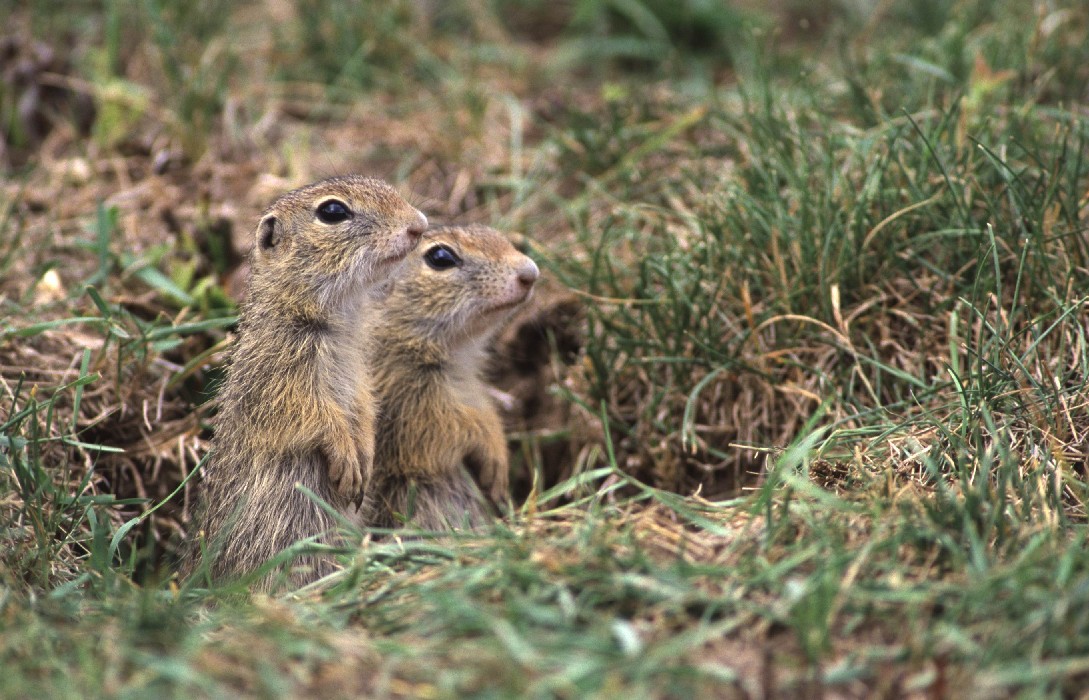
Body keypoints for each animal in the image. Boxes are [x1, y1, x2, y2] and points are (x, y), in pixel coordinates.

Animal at [187, 174, 424, 587]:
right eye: (332, 211)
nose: (419, 225)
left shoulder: (359, 375)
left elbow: (363, 410)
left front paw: (365, 457)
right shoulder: (279, 384)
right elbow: (316, 417)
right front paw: (347, 460)